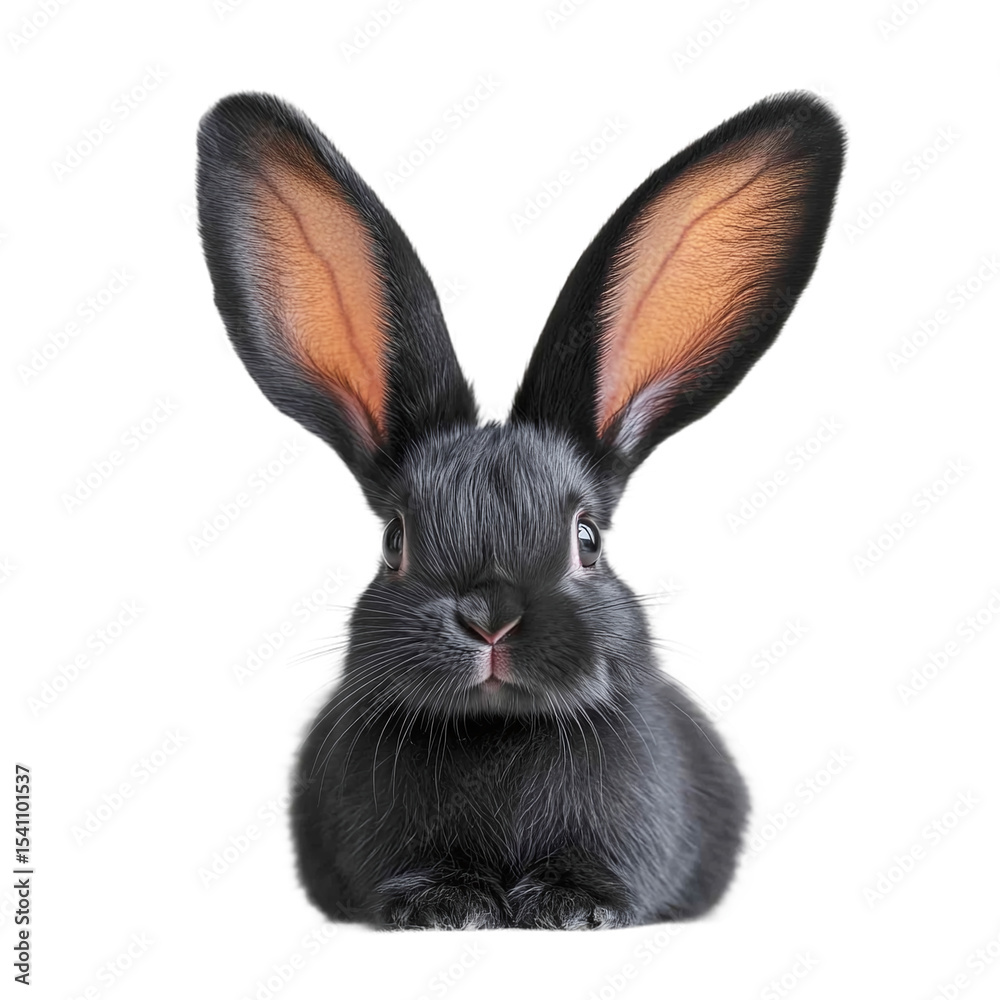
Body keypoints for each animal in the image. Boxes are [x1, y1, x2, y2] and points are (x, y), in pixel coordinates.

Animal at [196, 90, 843, 929]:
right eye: (394, 540)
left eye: (587, 538)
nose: (492, 616)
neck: (498, 729)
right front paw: (444, 908)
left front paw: (570, 911)